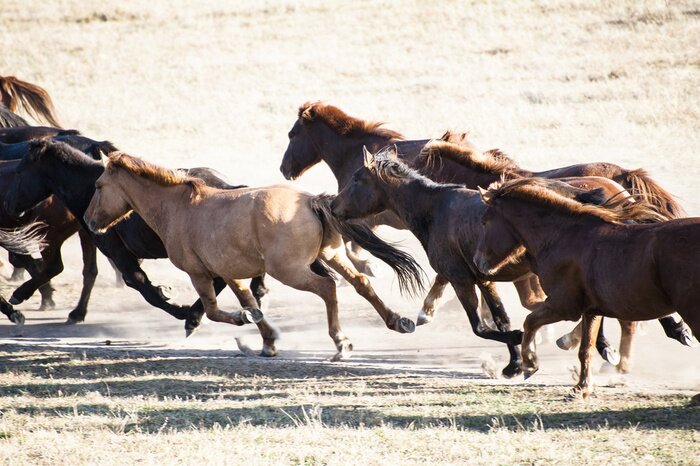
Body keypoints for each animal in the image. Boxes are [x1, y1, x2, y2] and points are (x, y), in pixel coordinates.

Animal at [3, 139, 268, 336]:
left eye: (20, 170)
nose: (9, 205)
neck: (88, 188)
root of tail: (231, 187)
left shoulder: (117, 251)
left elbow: (141, 286)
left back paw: (197, 316)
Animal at [82, 150, 422, 360]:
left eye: (98, 185)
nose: (88, 221)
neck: (178, 207)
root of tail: (311, 201)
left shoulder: (199, 274)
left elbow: (216, 310)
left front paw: (241, 321)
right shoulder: (231, 273)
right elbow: (248, 301)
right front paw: (267, 341)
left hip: (290, 271)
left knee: (328, 288)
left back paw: (341, 343)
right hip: (331, 255)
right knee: (361, 283)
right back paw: (399, 321)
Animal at [473, 177, 699, 401]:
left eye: (484, 221)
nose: (477, 262)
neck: (562, 237)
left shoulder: (564, 306)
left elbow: (530, 322)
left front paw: (530, 365)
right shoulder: (591, 310)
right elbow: (586, 349)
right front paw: (581, 388)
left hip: (690, 311)